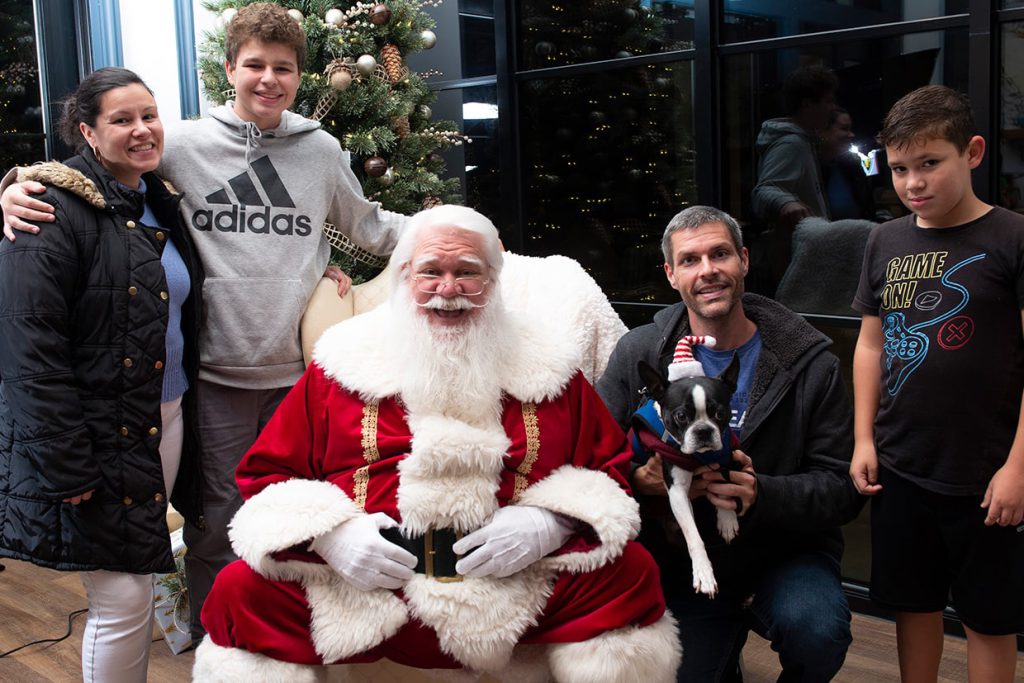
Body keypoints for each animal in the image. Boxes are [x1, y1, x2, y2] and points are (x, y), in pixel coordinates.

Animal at [630, 342, 737, 598]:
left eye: (720, 413)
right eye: (681, 416)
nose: (703, 430)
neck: (700, 457)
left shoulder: (724, 453)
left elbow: (724, 485)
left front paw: (727, 518)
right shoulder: (677, 491)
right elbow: (694, 536)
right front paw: (704, 574)